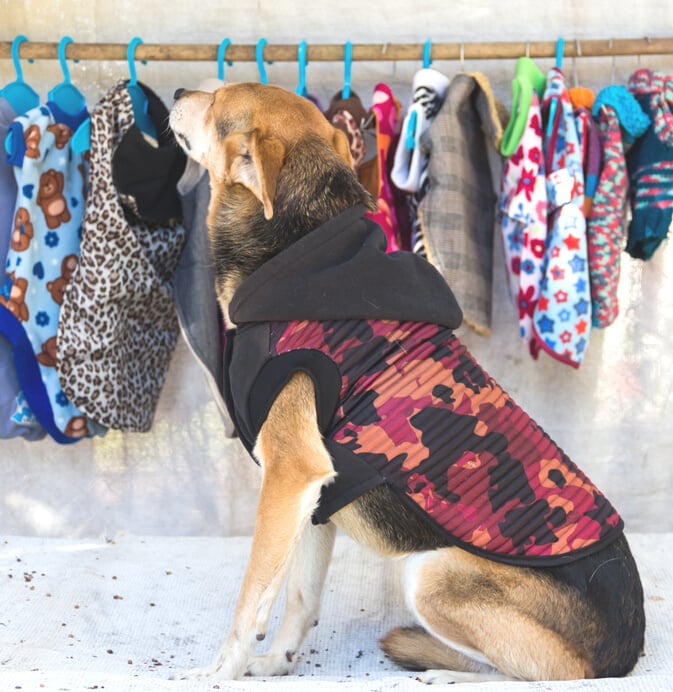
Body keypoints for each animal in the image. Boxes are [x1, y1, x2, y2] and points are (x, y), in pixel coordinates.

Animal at [169, 84, 644, 684]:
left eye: (217, 100)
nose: (178, 92)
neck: (301, 247)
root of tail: (624, 652)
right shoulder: (315, 498)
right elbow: (299, 600)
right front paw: (275, 663)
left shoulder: (290, 472)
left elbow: (252, 597)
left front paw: (219, 672)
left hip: (431, 575)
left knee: (542, 674)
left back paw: (450, 675)